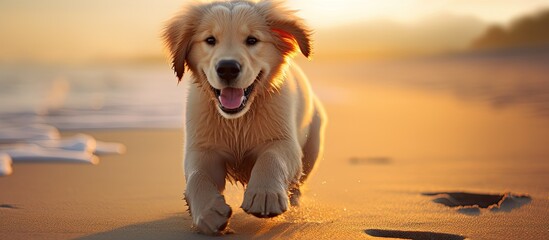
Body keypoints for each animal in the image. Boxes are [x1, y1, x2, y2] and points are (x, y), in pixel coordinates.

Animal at [163, 0, 326, 235]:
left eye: (252, 40)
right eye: (210, 40)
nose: (227, 68)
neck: (237, 119)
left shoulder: (284, 141)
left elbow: (272, 157)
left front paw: (265, 194)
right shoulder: (203, 149)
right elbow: (197, 177)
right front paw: (208, 212)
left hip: (313, 145)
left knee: (298, 182)